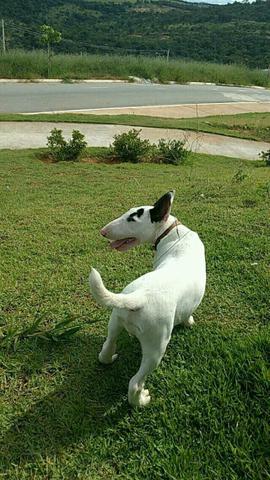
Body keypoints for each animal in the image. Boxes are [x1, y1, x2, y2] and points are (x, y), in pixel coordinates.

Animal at [89, 189, 206, 406]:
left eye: (132, 218)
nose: (103, 232)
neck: (172, 233)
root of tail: (138, 297)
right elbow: (189, 314)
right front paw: (189, 322)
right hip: (157, 345)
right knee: (135, 382)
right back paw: (141, 400)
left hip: (115, 321)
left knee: (106, 348)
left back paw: (110, 357)